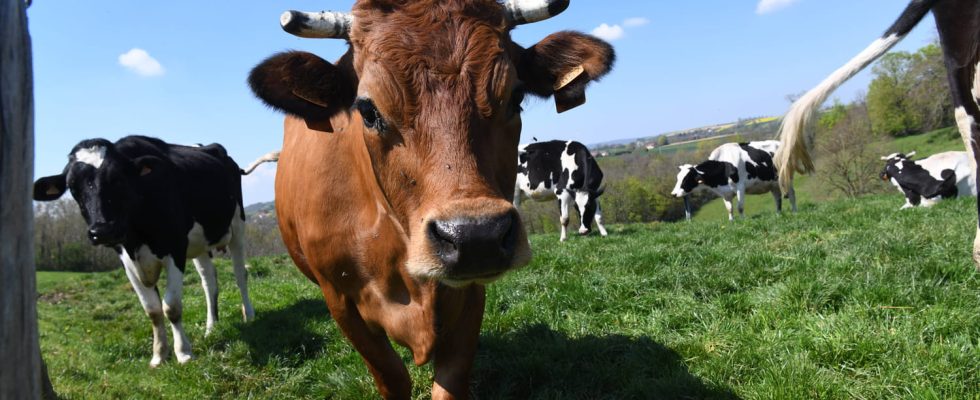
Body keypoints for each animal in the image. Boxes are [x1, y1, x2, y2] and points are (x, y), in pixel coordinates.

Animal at [33, 136, 258, 368]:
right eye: (73, 188)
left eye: (118, 178)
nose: (102, 230)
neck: (136, 237)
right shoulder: (127, 261)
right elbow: (152, 310)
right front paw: (159, 355)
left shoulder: (175, 250)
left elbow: (171, 307)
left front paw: (183, 353)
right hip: (200, 244)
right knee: (209, 280)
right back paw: (211, 328)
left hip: (238, 226)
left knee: (240, 274)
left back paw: (249, 315)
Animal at [245, 0, 612, 396]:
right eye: (367, 110)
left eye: (515, 97)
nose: (476, 236)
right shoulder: (339, 300)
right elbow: (392, 377)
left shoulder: (471, 292)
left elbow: (449, 382)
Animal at [668, 140, 796, 222]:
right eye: (678, 178)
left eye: (686, 179)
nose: (673, 194)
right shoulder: (725, 192)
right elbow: (729, 208)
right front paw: (731, 221)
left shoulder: (740, 187)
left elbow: (740, 206)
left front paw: (743, 220)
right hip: (773, 183)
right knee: (778, 198)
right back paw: (778, 214)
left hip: (786, 177)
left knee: (792, 194)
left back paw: (794, 211)